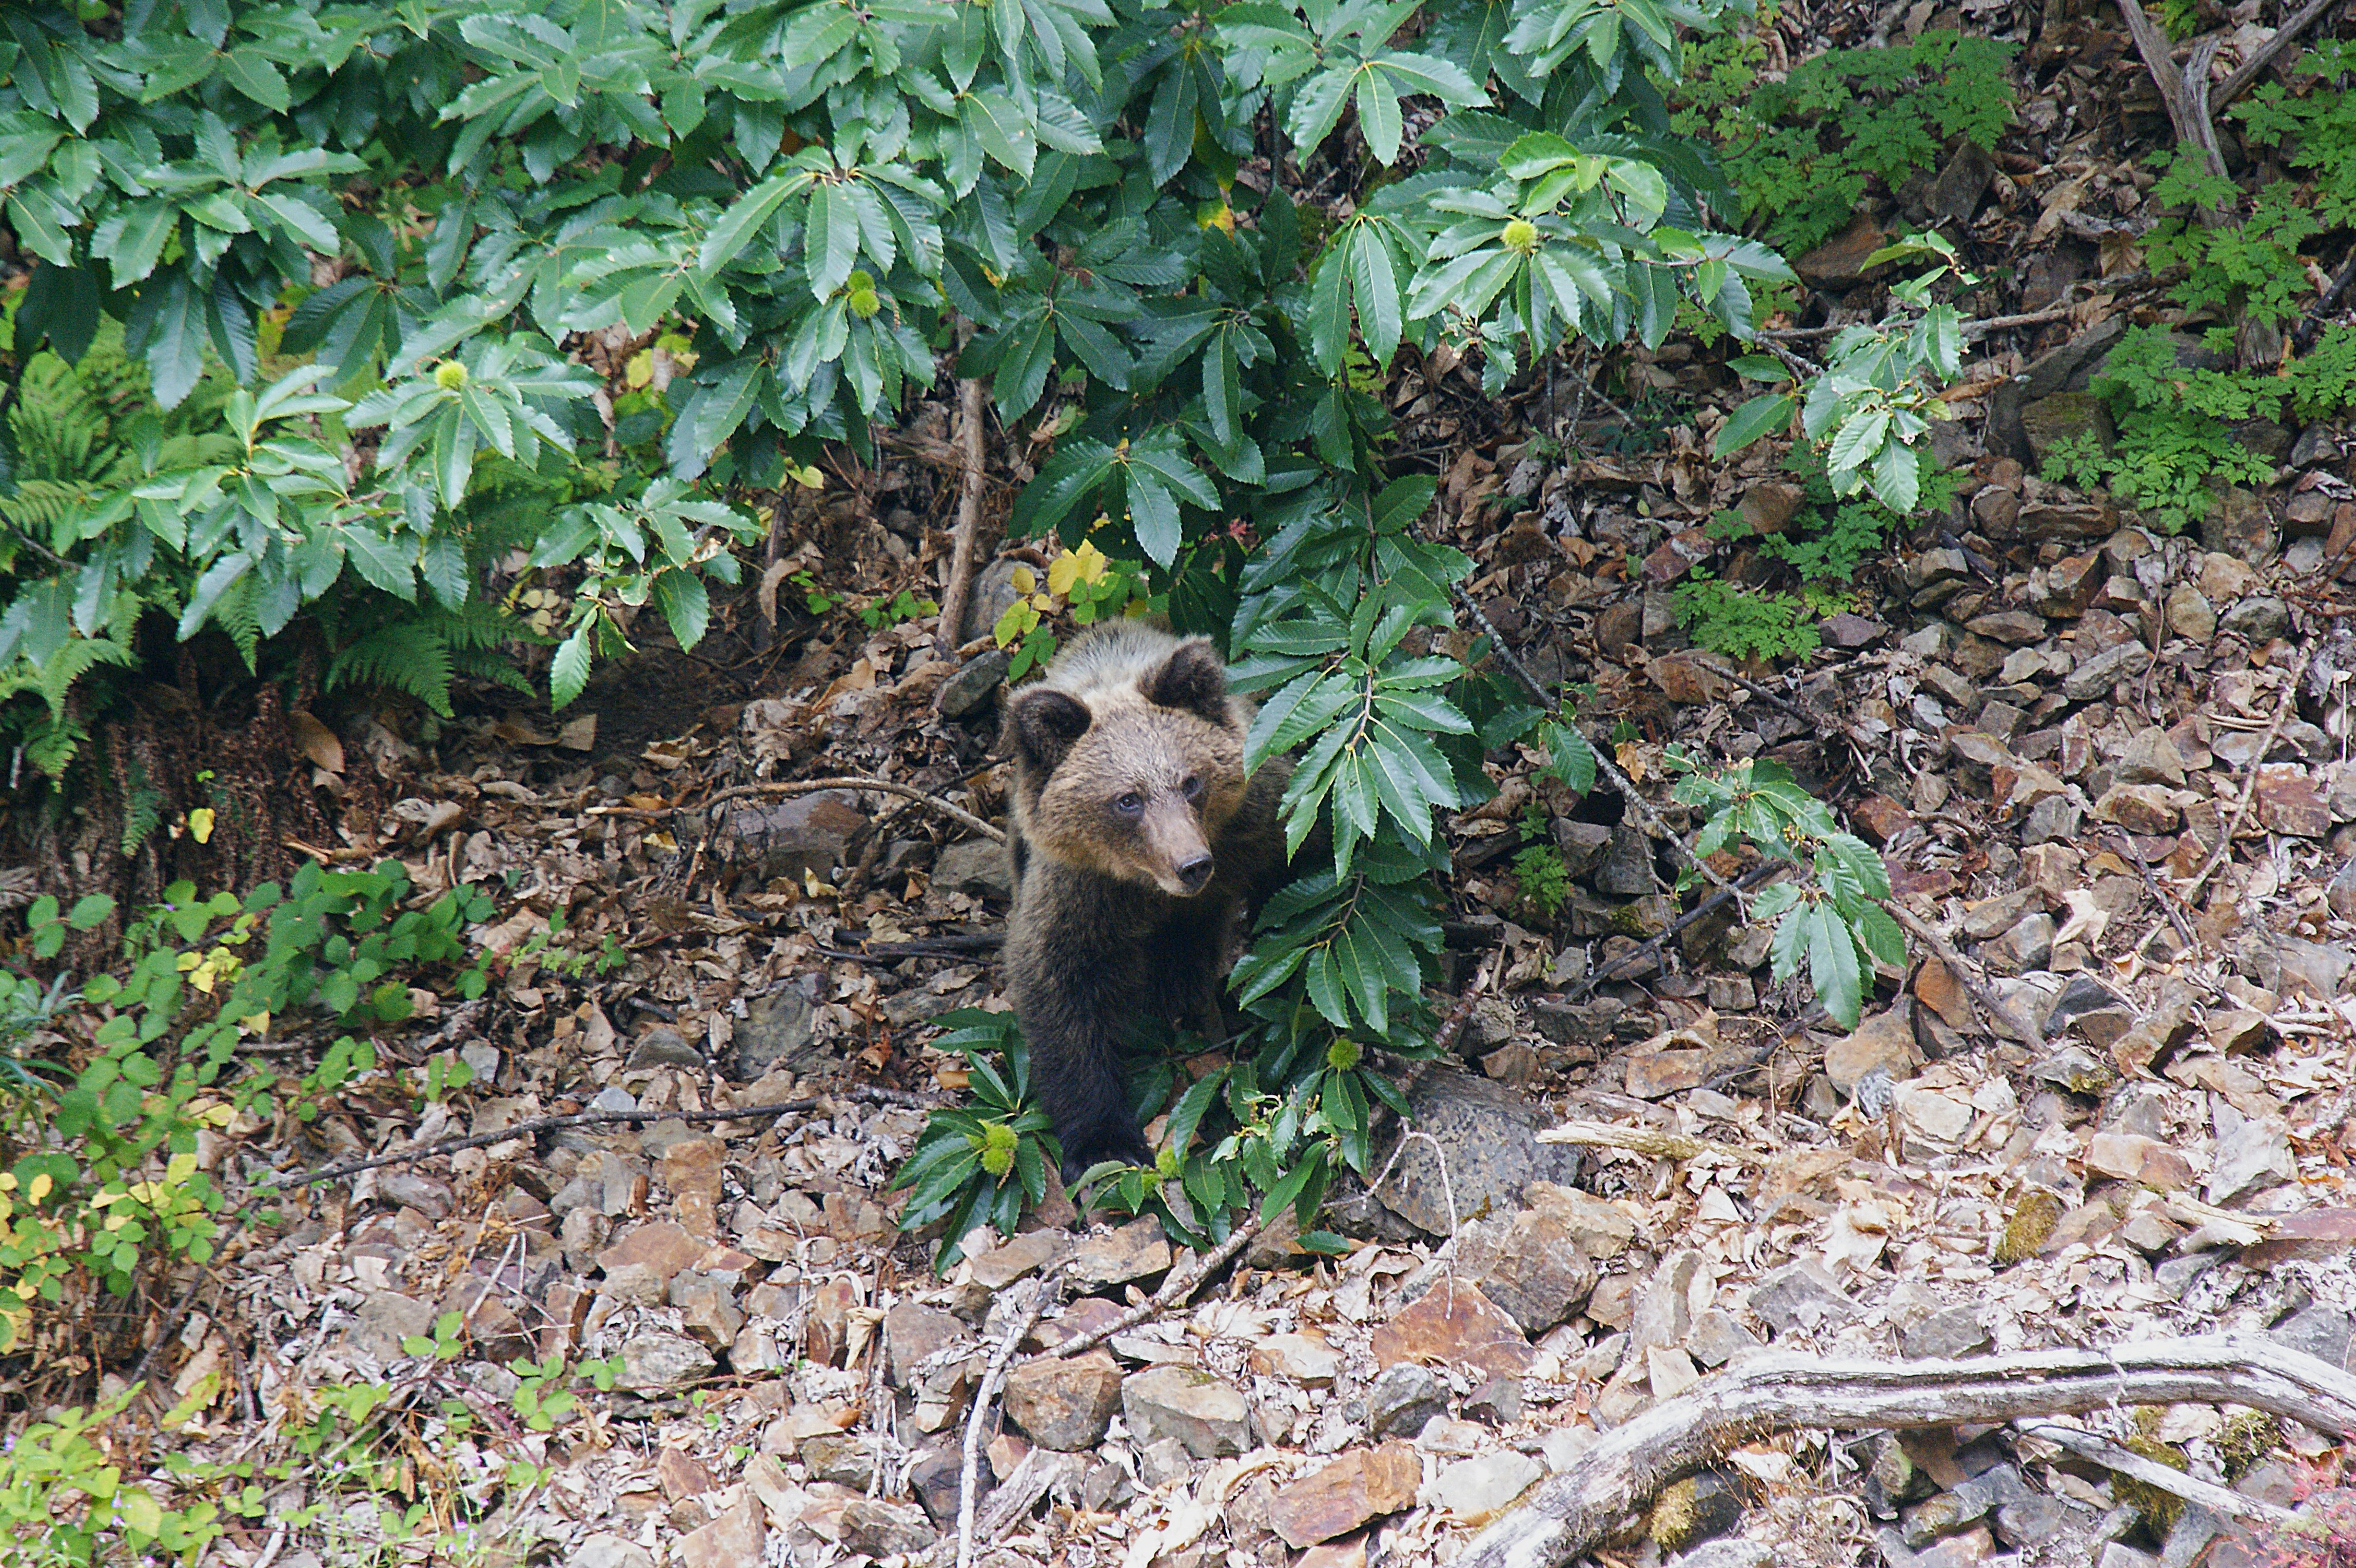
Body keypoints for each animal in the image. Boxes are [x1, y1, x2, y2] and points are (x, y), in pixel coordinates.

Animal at [999, 620, 1293, 1181]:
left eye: (1191, 780)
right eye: (1126, 800)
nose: (1192, 864)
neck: (1147, 886)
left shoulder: (1257, 822)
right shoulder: (1078, 890)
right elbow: (1058, 985)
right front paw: (1104, 1141)